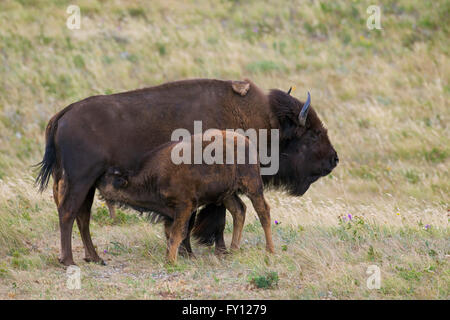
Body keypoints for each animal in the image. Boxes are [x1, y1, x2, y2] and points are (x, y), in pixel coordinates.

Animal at [96, 129, 274, 262]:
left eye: (111, 179)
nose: (97, 182)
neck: (156, 176)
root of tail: (246, 141)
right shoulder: (171, 213)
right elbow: (170, 233)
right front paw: (171, 257)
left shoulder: (184, 206)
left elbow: (178, 233)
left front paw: (170, 261)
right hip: (227, 194)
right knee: (239, 210)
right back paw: (234, 249)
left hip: (253, 186)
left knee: (263, 212)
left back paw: (269, 250)